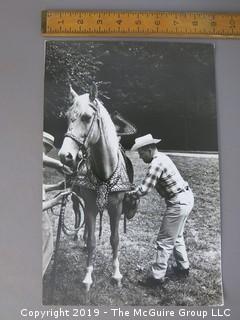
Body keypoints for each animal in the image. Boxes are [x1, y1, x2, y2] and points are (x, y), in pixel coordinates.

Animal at [58, 84, 130, 292]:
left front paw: (116, 274)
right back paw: (78, 235)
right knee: (77, 213)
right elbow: (91, 242)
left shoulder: (116, 208)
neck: (105, 173)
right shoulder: (89, 206)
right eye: (68, 117)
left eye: (86, 117)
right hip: (75, 196)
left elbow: (115, 240)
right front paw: (88, 277)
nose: (65, 156)